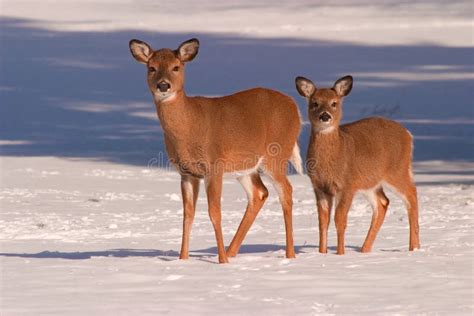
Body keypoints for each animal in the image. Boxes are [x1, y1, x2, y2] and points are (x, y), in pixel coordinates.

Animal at [128, 38, 302, 262]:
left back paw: (289, 256)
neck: (190, 125)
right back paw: (232, 251)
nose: (163, 85)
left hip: (276, 154)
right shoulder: (187, 173)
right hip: (245, 167)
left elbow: (214, 212)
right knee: (259, 193)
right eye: (152, 68)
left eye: (176, 67)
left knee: (286, 192)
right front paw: (182, 259)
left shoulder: (214, 165)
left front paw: (221, 262)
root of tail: (295, 107)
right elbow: (188, 214)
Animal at [294, 75, 420, 256]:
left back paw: (414, 247)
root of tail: (408, 134)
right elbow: (323, 221)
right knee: (383, 203)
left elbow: (340, 219)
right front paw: (322, 253)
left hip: (397, 170)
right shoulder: (320, 187)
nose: (325, 116)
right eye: (315, 103)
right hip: (370, 182)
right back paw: (364, 250)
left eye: (334, 103)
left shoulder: (347, 184)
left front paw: (340, 254)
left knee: (411, 194)